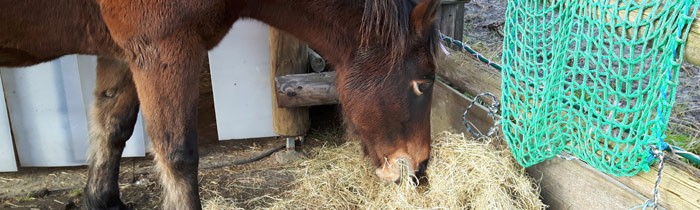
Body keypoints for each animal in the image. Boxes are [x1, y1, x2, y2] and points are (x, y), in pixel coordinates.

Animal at [0, 0, 440, 208]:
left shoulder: (121, 52)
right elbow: (177, 156)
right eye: (424, 82)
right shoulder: (163, 49)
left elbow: (112, 129)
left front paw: (101, 201)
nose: (420, 170)